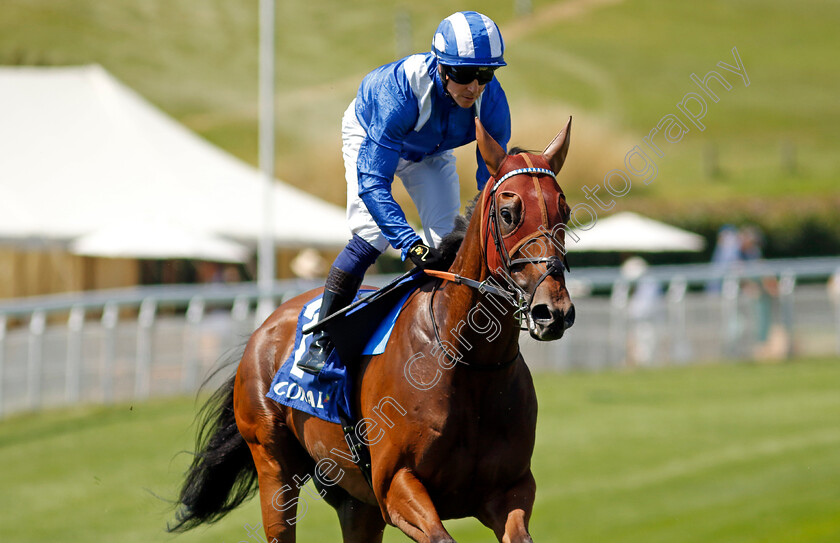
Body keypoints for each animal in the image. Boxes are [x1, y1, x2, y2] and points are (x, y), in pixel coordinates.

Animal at [171, 119, 576, 543]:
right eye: (509, 213)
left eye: (564, 210)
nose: (553, 312)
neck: (467, 363)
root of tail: (265, 327)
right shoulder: (395, 484)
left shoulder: (511, 490)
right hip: (273, 465)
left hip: (354, 500)